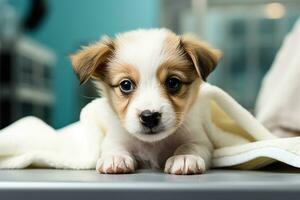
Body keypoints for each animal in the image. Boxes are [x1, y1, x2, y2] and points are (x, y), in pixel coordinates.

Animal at [69, 28, 220, 175]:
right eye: (126, 85)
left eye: (173, 82)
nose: (149, 117)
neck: (152, 144)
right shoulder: (116, 138)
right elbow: (114, 147)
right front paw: (115, 157)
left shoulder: (200, 140)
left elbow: (190, 145)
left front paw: (185, 157)